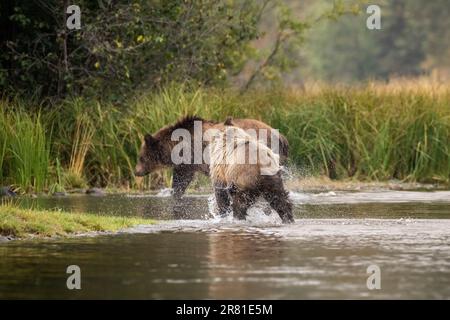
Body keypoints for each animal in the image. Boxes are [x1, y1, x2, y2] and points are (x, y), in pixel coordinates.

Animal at [134, 115, 288, 201]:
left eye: (140, 157)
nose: (136, 172)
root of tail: (281, 136)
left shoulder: (190, 159)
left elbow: (181, 180)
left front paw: (175, 193)